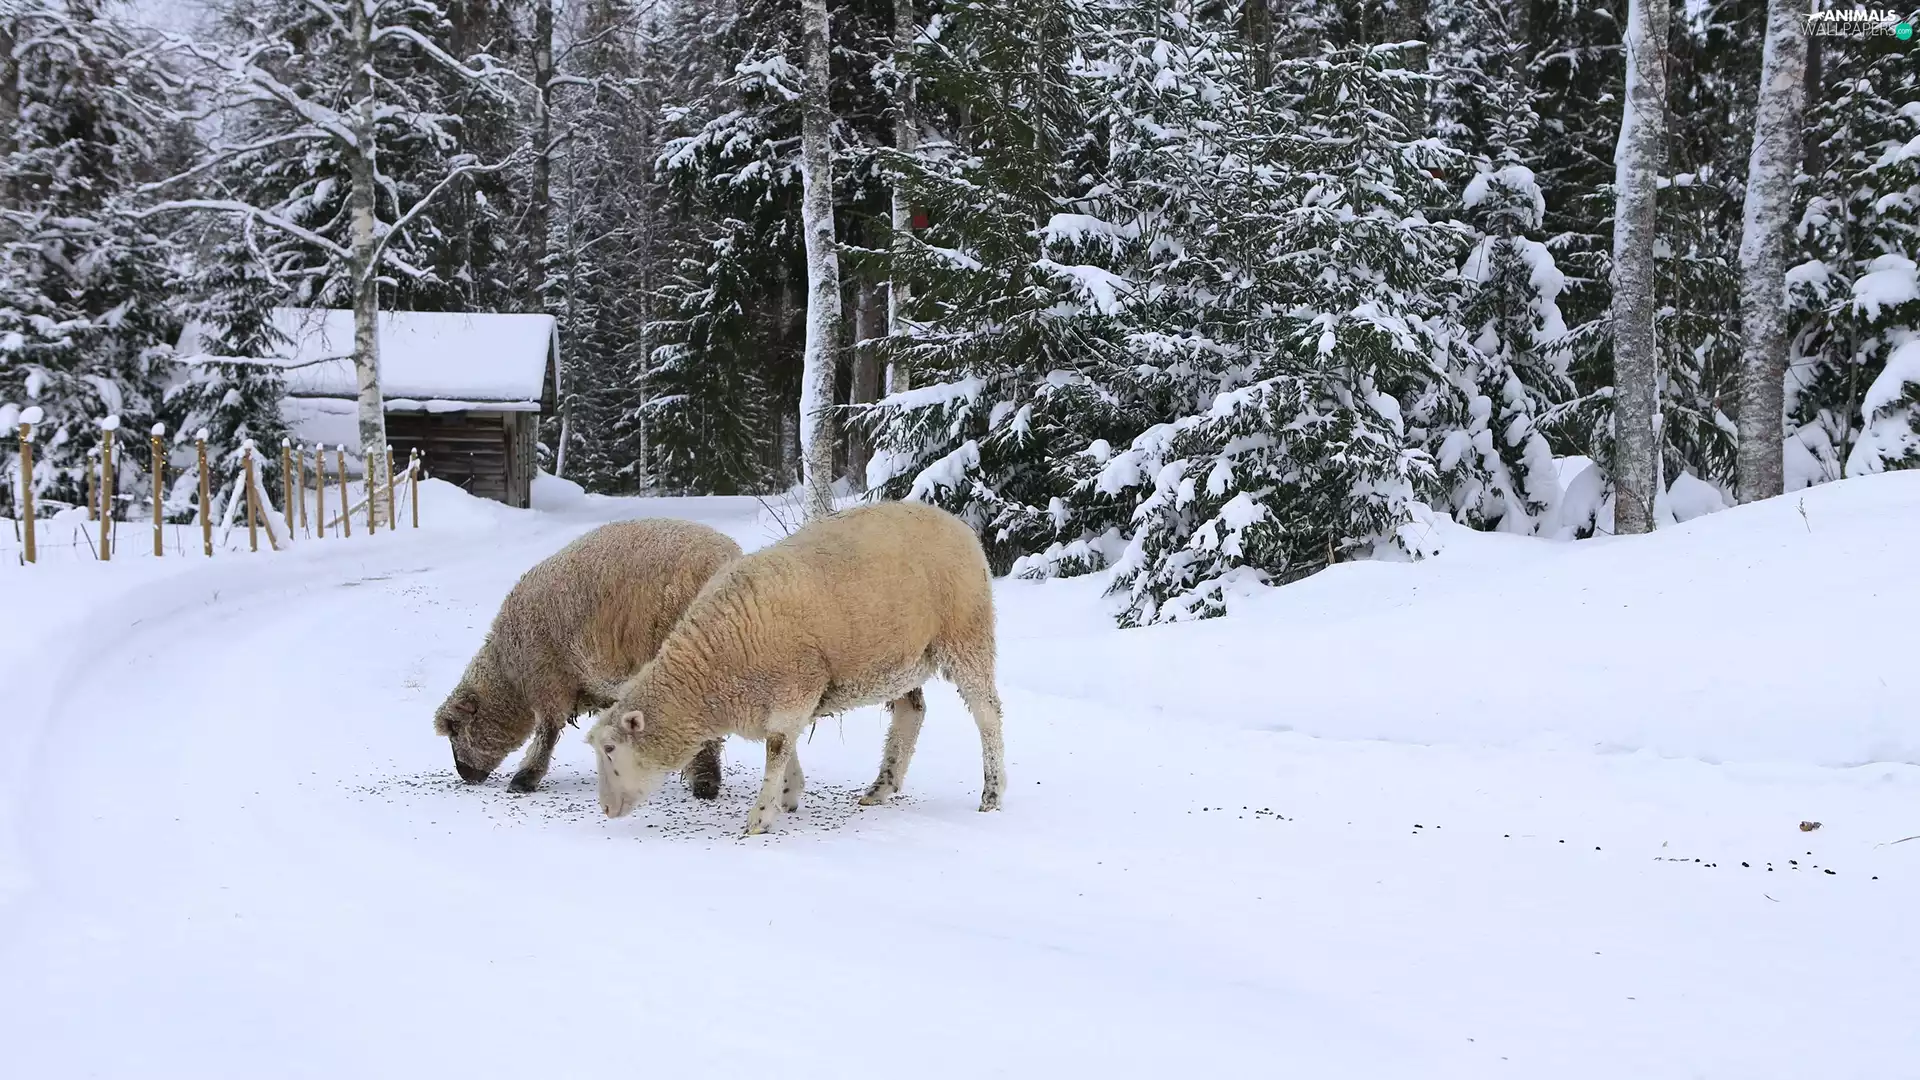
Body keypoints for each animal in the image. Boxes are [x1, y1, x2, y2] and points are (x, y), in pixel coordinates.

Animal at [433, 518, 742, 795]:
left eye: (455, 729)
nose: (464, 774)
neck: (510, 671)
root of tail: (725, 557)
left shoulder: (547, 677)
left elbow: (547, 732)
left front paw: (525, 778)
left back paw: (704, 783)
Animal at [585, 500, 1005, 835]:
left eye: (610, 747)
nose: (605, 809)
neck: (711, 668)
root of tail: (954, 521)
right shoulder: (780, 698)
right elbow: (783, 746)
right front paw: (788, 794)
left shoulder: (796, 686)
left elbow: (777, 748)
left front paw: (760, 816)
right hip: (901, 659)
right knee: (911, 713)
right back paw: (880, 788)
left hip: (966, 635)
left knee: (987, 713)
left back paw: (992, 792)